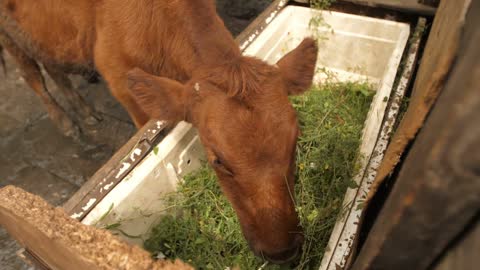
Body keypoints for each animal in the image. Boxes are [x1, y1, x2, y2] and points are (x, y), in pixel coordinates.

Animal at [3, 0, 320, 262]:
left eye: (294, 142)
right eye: (218, 160)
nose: (282, 252)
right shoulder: (120, 81)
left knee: (52, 65)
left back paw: (86, 113)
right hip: (9, 35)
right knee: (33, 75)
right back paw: (67, 123)